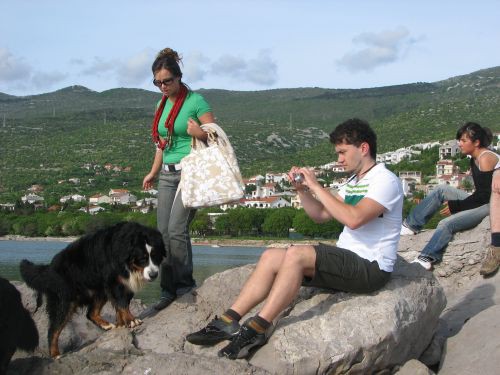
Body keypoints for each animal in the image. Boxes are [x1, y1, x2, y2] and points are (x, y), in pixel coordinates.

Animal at [19, 222, 165, 360]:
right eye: (142, 259)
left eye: (155, 256)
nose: (154, 274)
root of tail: (50, 267)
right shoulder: (114, 281)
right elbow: (122, 304)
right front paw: (131, 320)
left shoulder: (125, 285)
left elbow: (120, 307)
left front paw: (121, 324)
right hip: (65, 300)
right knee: (54, 329)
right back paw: (55, 354)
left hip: (98, 291)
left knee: (91, 313)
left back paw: (107, 326)